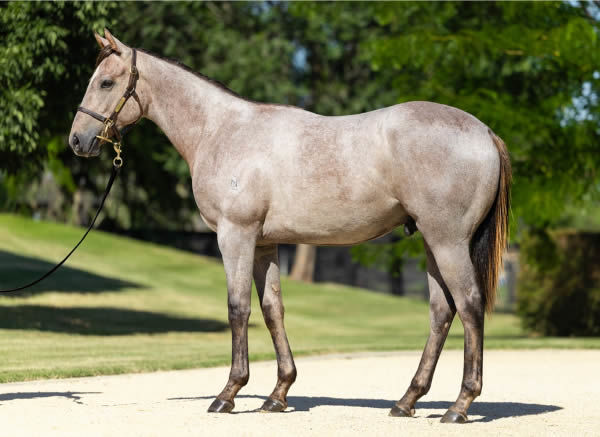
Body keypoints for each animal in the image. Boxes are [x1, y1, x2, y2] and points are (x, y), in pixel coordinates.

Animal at [70, 28, 510, 422]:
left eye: (106, 81)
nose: (77, 140)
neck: (222, 130)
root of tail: (485, 133)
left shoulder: (235, 235)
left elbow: (238, 308)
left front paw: (228, 393)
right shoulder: (265, 244)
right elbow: (272, 309)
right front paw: (278, 394)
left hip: (448, 241)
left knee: (469, 305)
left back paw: (459, 405)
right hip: (431, 243)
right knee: (441, 311)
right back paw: (407, 401)